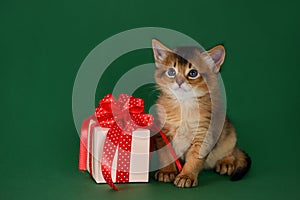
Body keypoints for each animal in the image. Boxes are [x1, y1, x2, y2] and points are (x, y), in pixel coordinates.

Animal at [152, 38, 251, 188]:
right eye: (171, 72)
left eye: (193, 73)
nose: (179, 81)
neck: (184, 106)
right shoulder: (162, 132)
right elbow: (165, 154)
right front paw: (167, 171)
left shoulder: (204, 134)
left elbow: (195, 159)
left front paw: (186, 176)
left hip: (228, 133)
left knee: (231, 150)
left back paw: (226, 162)